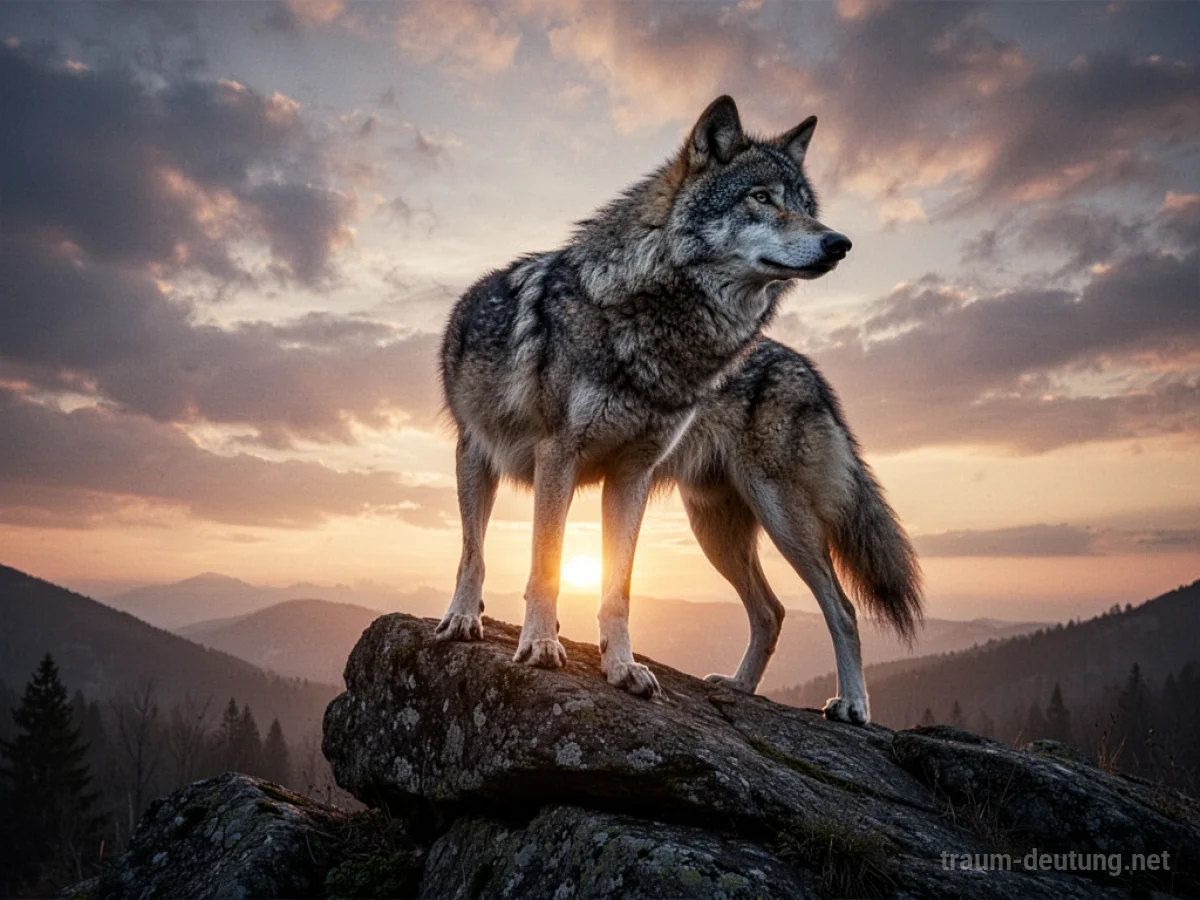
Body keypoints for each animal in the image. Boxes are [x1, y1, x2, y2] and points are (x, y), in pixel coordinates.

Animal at [436, 95, 853, 699]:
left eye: (805, 206)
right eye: (761, 198)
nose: (839, 243)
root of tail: (809, 371)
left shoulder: (630, 475)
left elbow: (618, 588)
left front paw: (621, 667)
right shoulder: (554, 457)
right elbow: (537, 563)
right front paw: (536, 644)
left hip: (772, 519)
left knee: (836, 609)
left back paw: (846, 705)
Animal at [657, 339, 923, 724]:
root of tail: (807, 370)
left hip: (781, 522)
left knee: (842, 611)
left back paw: (852, 704)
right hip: (716, 536)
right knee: (771, 613)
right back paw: (740, 685)